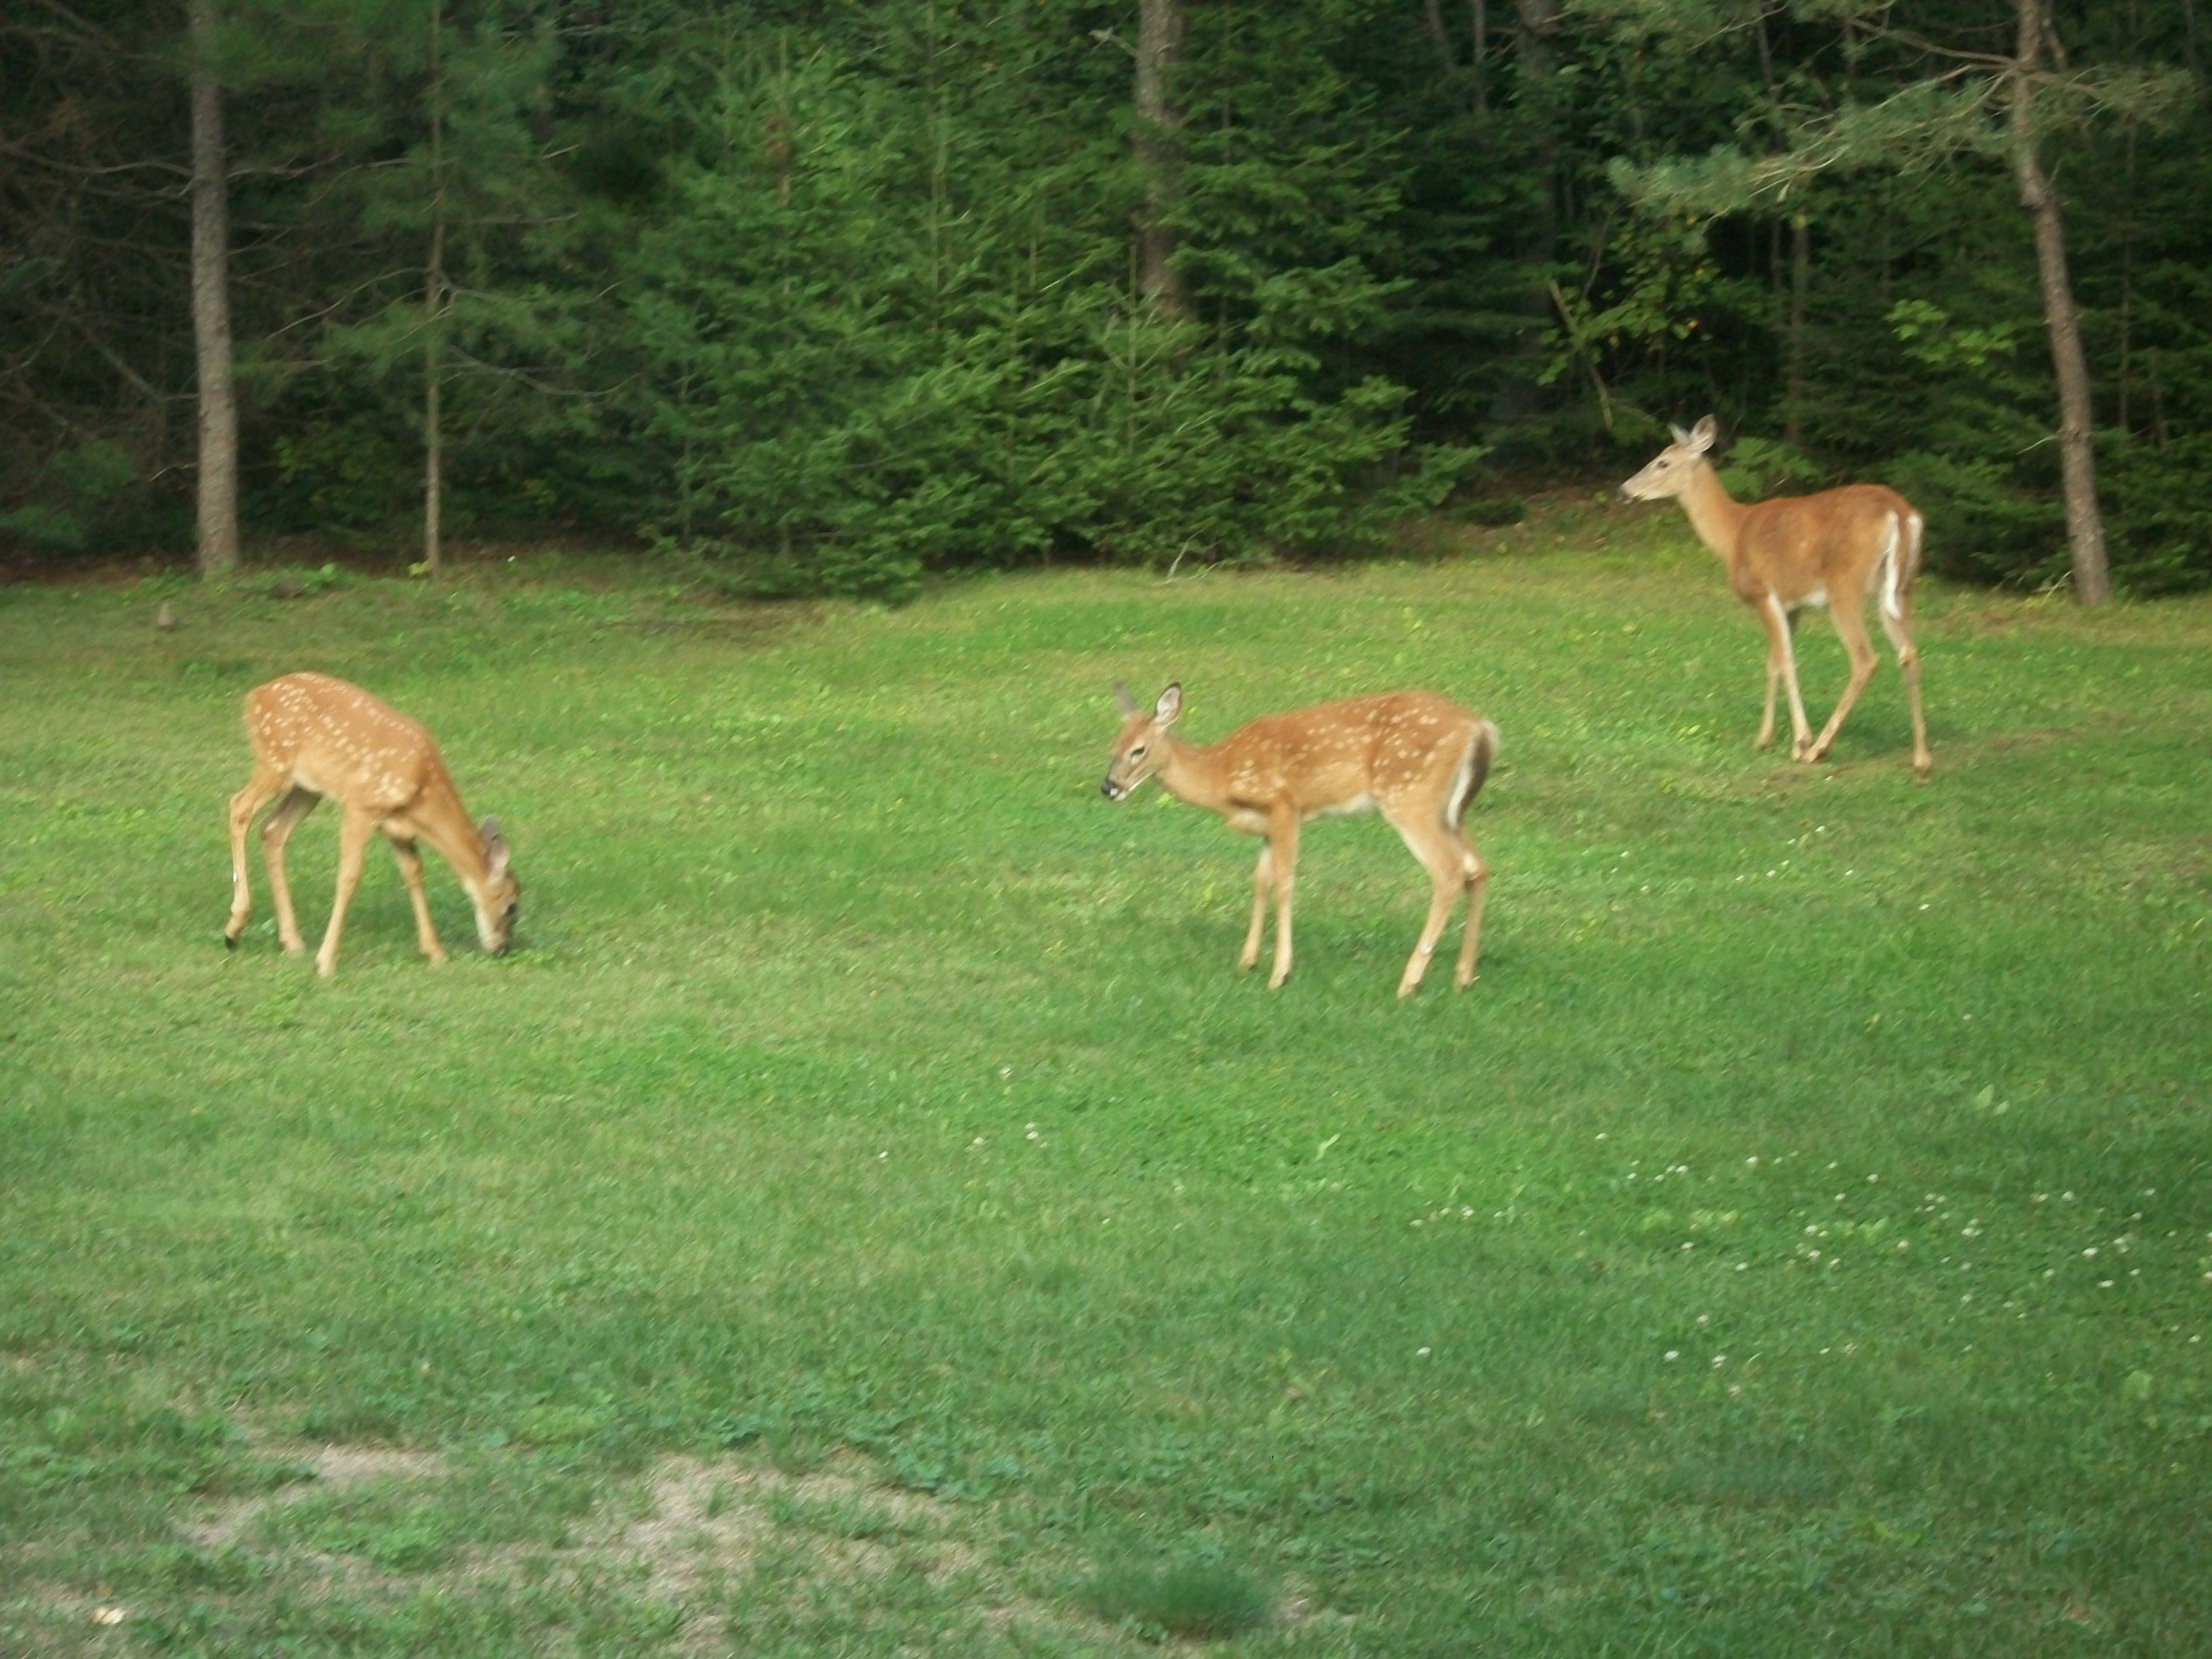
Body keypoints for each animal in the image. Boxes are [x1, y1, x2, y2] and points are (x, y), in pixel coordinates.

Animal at [223, 672, 518, 977]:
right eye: (512, 907)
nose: (503, 948)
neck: (422, 790)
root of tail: (254, 696)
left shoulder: (397, 828)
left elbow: (414, 872)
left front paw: (435, 952)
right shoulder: (361, 806)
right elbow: (349, 876)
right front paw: (325, 962)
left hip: (307, 787)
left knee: (272, 830)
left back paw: (291, 941)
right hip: (275, 760)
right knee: (239, 806)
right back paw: (234, 927)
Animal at [1101, 683, 1497, 996]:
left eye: (1139, 750)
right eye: (1112, 747)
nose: (1109, 788)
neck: (1221, 775)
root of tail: (1479, 728)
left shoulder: (1284, 806)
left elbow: (1284, 883)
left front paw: (1280, 973)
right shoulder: (1267, 825)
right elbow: (1260, 881)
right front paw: (1248, 961)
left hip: (1410, 795)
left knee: (1449, 871)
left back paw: (1410, 980)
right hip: (1451, 810)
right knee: (1477, 868)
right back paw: (1464, 977)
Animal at [1618, 415, 1933, 780]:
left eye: (1663, 462)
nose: (1624, 490)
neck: (1733, 536)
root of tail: (1901, 514)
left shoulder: (1761, 591)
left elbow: (1784, 661)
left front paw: (1799, 742)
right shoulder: (1792, 605)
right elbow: (1774, 663)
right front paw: (1765, 738)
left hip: (1846, 586)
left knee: (1865, 659)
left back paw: (1819, 749)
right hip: (1901, 588)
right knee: (1909, 653)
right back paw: (1922, 759)